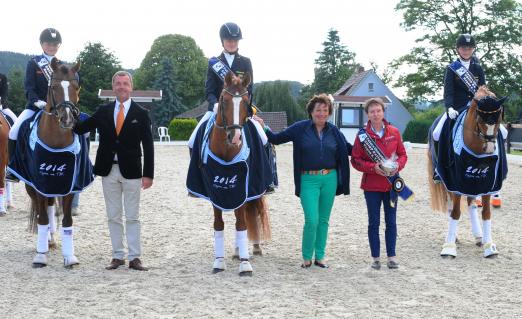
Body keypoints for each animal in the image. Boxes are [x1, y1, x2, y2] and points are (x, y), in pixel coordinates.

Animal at [26, 58, 81, 268]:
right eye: (54, 87)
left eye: (76, 87)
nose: (67, 118)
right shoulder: (39, 184)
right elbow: (41, 219)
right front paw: (40, 256)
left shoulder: (69, 185)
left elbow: (67, 220)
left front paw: (70, 257)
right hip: (31, 187)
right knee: (41, 211)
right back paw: (45, 243)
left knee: (50, 208)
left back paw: (51, 239)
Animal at [209, 71, 270, 276]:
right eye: (224, 100)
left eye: (245, 102)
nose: (235, 137)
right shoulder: (214, 192)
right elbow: (219, 225)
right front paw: (219, 262)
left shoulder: (243, 190)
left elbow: (242, 224)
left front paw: (245, 264)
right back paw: (237, 251)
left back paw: (252, 249)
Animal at [426, 85, 504, 260]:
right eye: (480, 119)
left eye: (499, 119)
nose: (490, 147)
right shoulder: (455, 181)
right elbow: (455, 212)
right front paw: (449, 248)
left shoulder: (488, 182)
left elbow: (486, 213)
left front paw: (489, 247)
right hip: (446, 180)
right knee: (450, 204)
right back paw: (454, 237)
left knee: (471, 204)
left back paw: (479, 236)